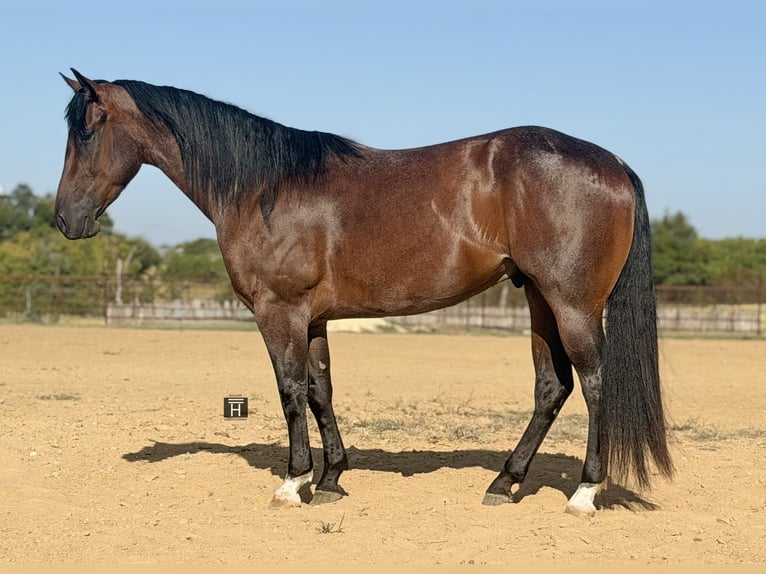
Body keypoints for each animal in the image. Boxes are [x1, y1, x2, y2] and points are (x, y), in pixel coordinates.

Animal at [54, 69, 673, 517]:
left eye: (86, 130)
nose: (65, 219)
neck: (265, 188)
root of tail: (614, 163)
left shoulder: (279, 312)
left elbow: (289, 391)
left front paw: (293, 483)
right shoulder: (313, 318)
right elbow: (320, 391)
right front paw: (331, 478)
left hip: (572, 304)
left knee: (594, 384)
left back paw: (584, 494)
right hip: (539, 299)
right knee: (552, 387)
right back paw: (505, 482)